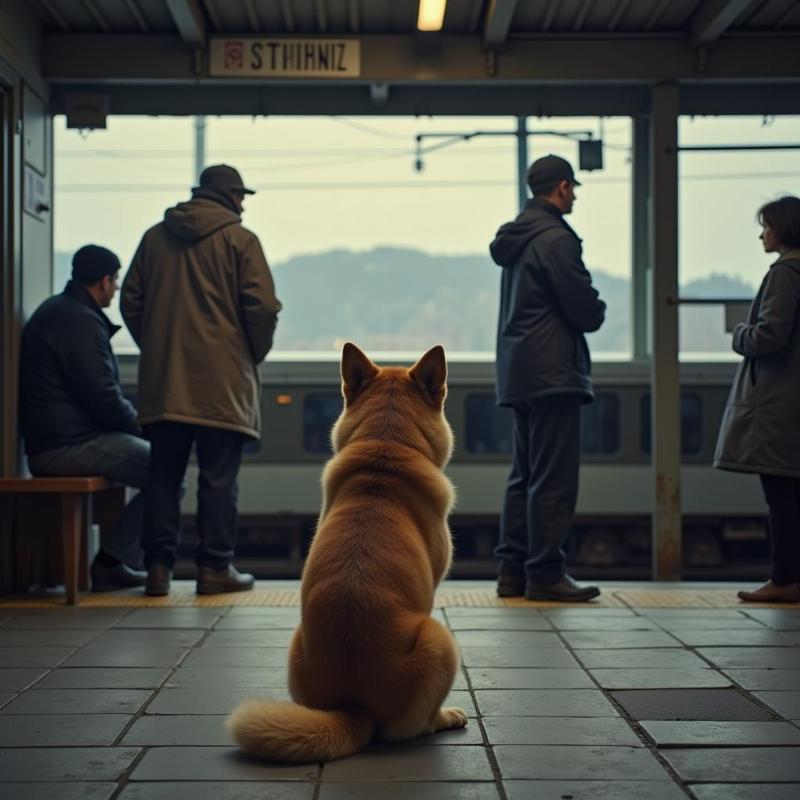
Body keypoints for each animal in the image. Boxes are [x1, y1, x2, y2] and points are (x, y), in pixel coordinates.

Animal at [225, 342, 466, 764]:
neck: (387, 445)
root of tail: (354, 706)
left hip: (296, 642)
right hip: (440, 641)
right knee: (411, 729)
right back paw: (446, 717)